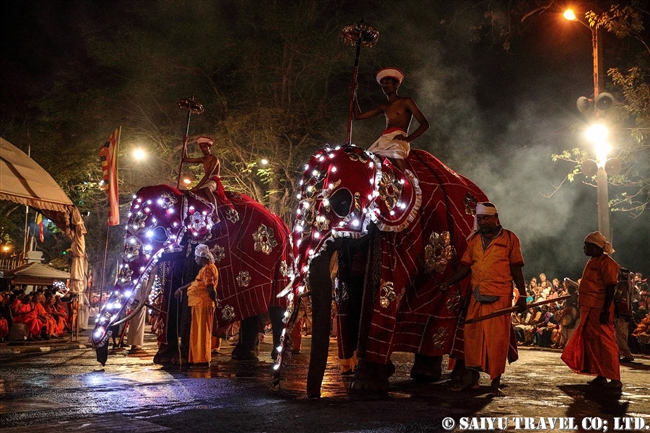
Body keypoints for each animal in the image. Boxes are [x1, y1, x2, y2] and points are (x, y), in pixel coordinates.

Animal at [272, 143, 486, 396]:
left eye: (341, 203)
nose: (277, 383)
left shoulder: (396, 238)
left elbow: (382, 291)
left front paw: (365, 385)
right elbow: (350, 288)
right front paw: (377, 374)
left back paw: (463, 381)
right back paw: (424, 375)